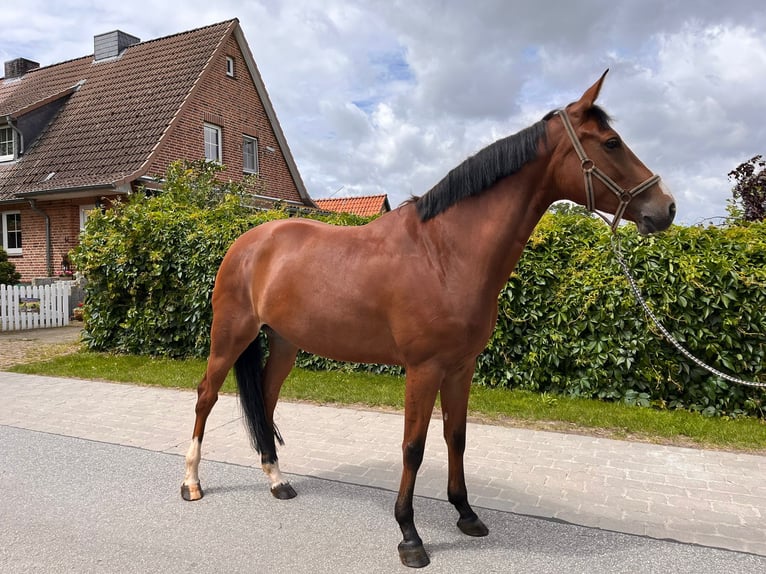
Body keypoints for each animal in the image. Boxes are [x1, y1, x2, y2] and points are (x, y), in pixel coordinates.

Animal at [182, 73, 680, 572]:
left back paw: (277, 480)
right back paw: (191, 482)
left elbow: (455, 438)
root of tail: (246, 241)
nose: (667, 207)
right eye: (612, 143)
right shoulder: (423, 370)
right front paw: (409, 534)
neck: (444, 254)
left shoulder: (461, 367)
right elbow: (414, 447)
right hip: (230, 335)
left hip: (285, 342)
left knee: (265, 402)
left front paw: (466, 513)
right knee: (206, 397)